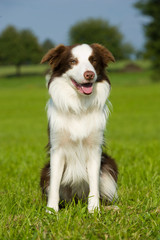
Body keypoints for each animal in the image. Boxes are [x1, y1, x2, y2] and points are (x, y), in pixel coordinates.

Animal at [39, 43, 117, 212]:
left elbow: (94, 184)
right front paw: (51, 210)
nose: (89, 75)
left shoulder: (95, 150)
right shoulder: (57, 150)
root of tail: (77, 199)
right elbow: (55, 183)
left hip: (108, 166)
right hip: (45, 171)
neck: (79, 106)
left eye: (93, 60)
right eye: (73, 61)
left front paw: (94, 210)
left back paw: (110, 207)